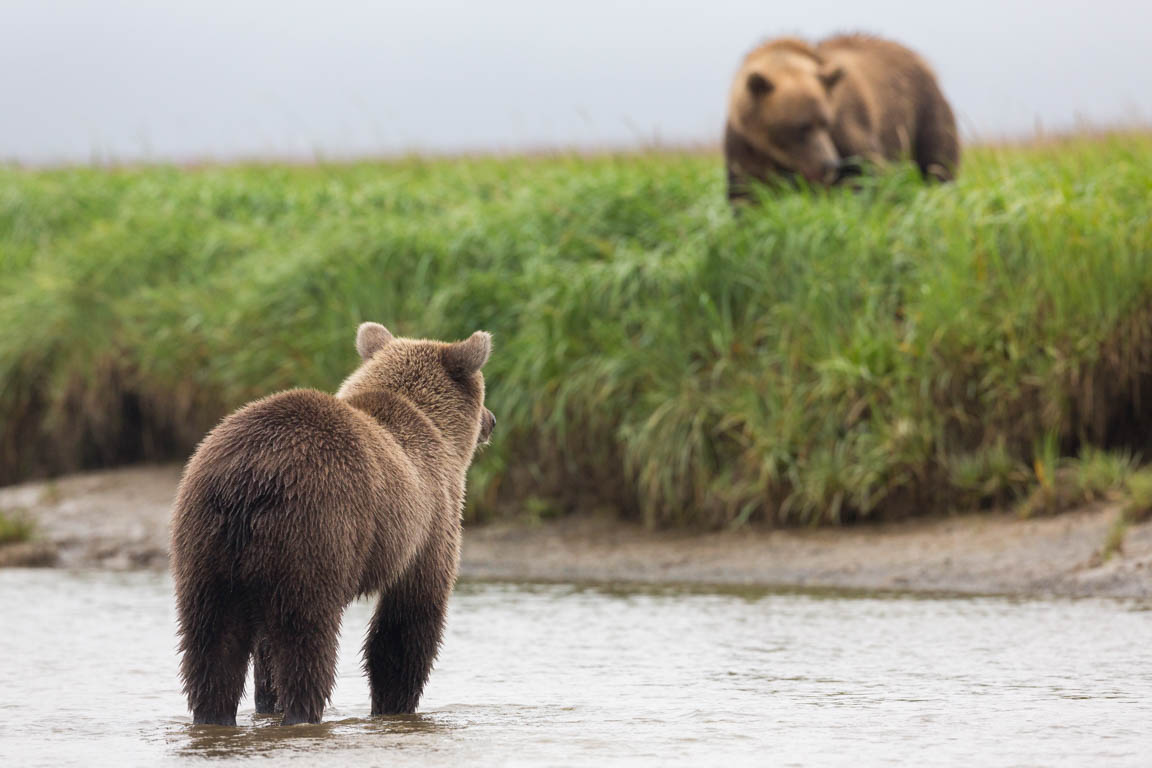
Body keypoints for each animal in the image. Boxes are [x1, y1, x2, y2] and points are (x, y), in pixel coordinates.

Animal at [170, 322, 495, 727]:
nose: (492, 420)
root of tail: (248, 477)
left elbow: (263, 652)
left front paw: (268, 700)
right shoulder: (430, 520)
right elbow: (408, 621)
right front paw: (395, 705)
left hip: (203, 540)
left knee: (210, 641)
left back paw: (213, 716)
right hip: (315, 529)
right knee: (306, 638)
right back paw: (302, 714)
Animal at [723, 34, 958, 202]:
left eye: (825, 122)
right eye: (801, 126)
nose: (829, 164)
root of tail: (920, 59)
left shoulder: (847, 123)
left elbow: (864, 171)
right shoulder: (746, 144)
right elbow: (747, 193)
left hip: (924, 111)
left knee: (937, 163)